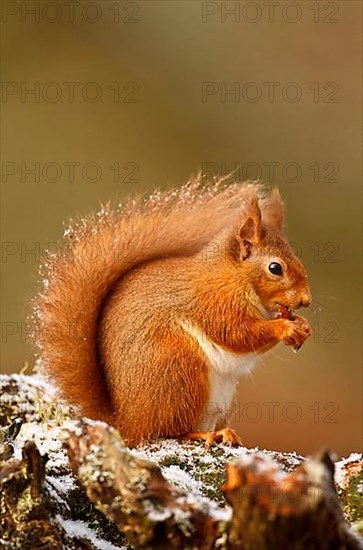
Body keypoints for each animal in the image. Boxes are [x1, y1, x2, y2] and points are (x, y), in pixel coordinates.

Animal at [33, 180, 312, 448]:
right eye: (275, 268)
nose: (306, 300)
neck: (234, 276)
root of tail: (127, 423)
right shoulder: (215, 302)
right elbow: (238, 334)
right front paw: (285, 327)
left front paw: (303, 325)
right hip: (179, 369)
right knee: (171, 430)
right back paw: (205, 435)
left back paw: (225, 432)